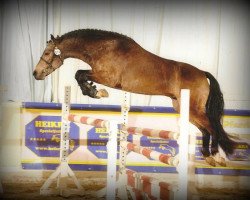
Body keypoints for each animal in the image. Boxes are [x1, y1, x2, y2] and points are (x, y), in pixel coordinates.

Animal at [33, 28, 236, 166]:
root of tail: (202, 73)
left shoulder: (107, 78)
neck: (103, 48)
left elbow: (80, 74)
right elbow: (80, 75)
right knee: (206, 130)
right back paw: (208, 157)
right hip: (183, 108)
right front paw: (94, 91)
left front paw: (97, 92)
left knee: (213, 127)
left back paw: (217, 157)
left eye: (47, 53)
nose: (36, 74)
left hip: (193, 109)